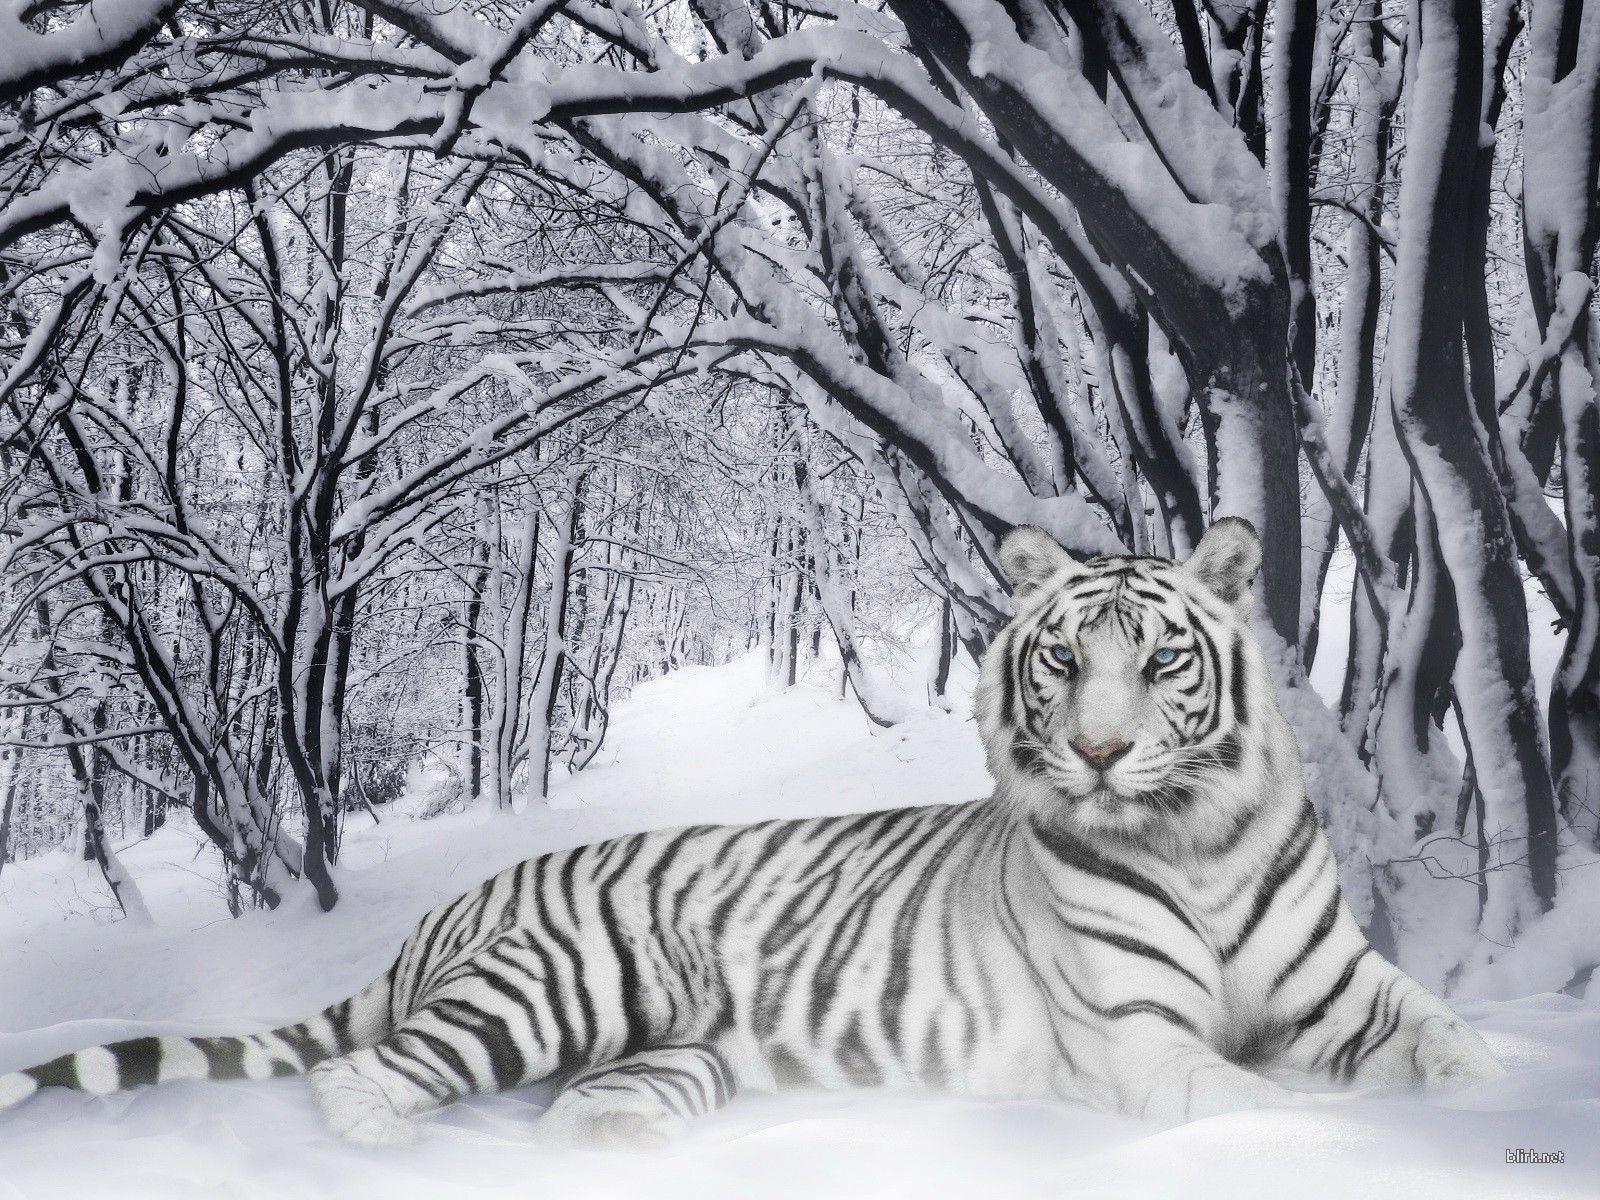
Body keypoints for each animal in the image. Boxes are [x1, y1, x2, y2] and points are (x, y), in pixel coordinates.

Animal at [0, 519, 1505, 1148]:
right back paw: (384, 1146)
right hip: (554, 987)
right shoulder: (1142, 1042)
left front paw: (1487, 1108)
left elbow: (1454, 1047)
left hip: (676, 1053)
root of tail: (454, 904)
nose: (1095, 752)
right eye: (1064, 661)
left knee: (583, 1108)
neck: (1195, 839)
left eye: (1163, 660)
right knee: (368, 1075)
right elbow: (1262, 1107)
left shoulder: (1349, 992)